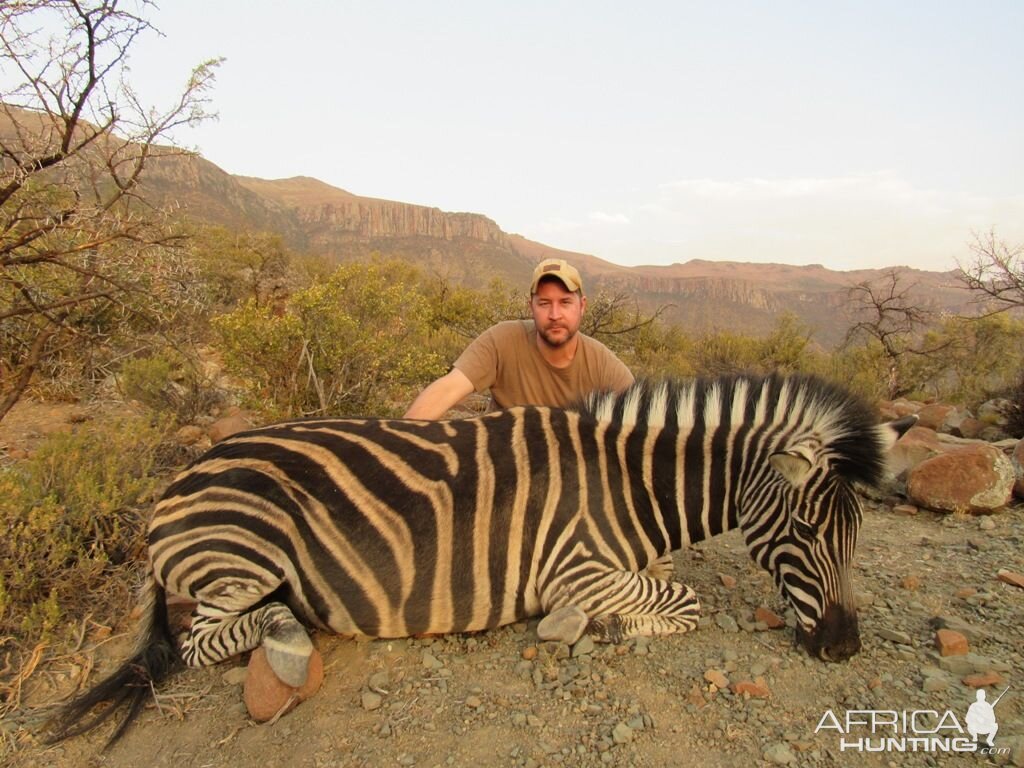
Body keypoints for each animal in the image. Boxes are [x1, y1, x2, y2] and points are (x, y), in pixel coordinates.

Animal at [46, 374, 913, 745]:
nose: (845, 649)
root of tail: (172, 491)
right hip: (245, 552)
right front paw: (596, 626)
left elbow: (668, 585)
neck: (629, 487)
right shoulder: (573, 565)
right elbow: (680, 603)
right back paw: (291, 636)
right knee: (207, 640)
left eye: (856, 536)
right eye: (808, 531)